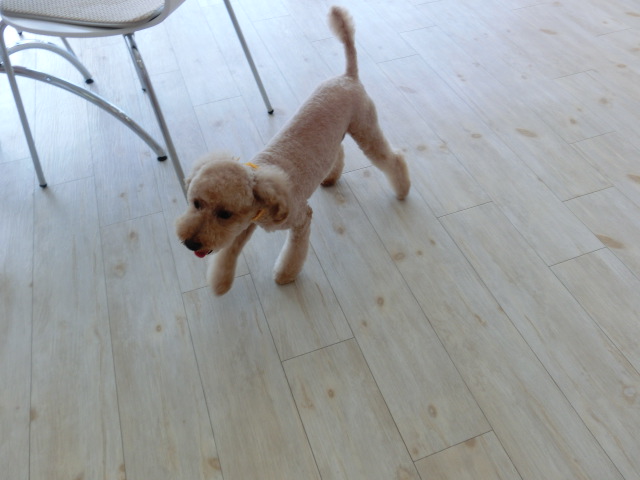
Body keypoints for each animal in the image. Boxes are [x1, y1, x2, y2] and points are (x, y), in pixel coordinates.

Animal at [176, 6, 410, 295]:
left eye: (224, 214)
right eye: (196, 203)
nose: (191, 243)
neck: (263, 185)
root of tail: (347, 76)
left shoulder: (300, 219)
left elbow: (293, 253)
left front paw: (285, 275)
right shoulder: (247, 225)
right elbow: (229, 253)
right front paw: (221, 281)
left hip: (366, 129)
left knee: (392, 158)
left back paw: (402, 189)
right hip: (337, 135)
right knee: (338, 151)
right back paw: (331, 177)